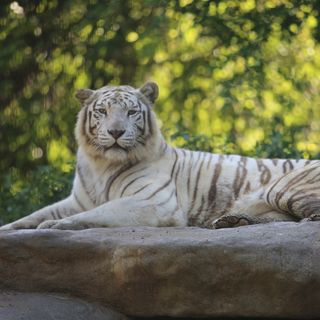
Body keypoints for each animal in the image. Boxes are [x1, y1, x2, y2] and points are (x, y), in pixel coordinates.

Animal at [1, 81, 318, 231]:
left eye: (131, 112)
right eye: (102, 111)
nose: (115, 132)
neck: (101, 164)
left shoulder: (153, 201)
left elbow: (97, 213)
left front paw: (53, 226)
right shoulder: (77, 200)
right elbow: (31, 215)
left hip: (284, 187)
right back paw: (231, 221)